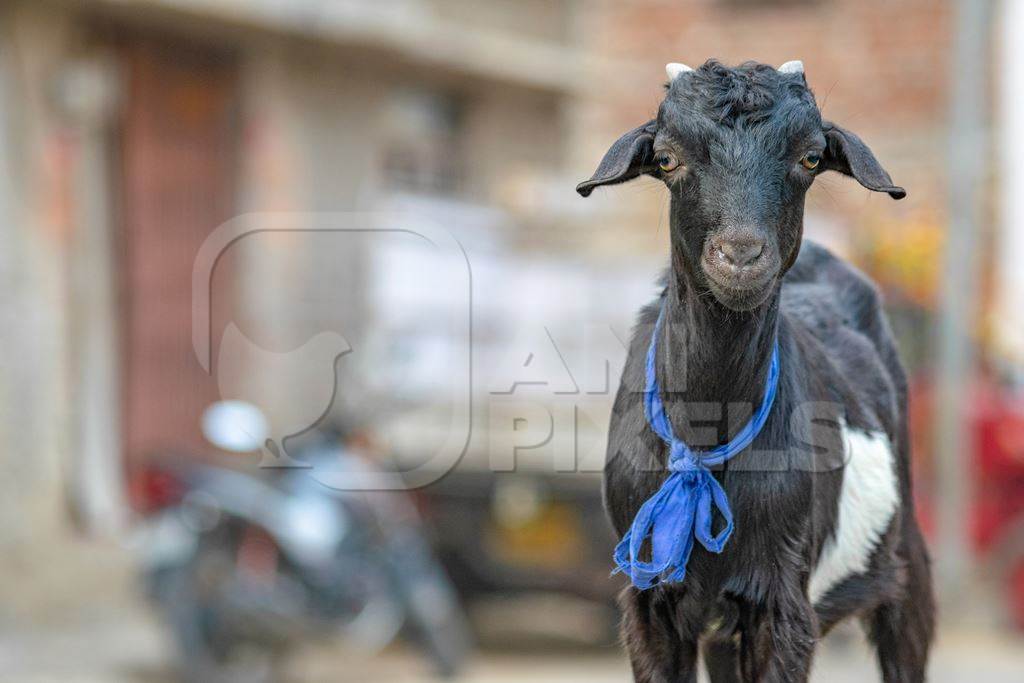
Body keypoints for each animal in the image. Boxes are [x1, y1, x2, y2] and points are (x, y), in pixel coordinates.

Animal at [577, 60, 937, 683]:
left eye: (811, 158)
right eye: (666, 158)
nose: (741, 255)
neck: (704, 437)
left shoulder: (783, 602)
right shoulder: (647, 604)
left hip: (905, 563)